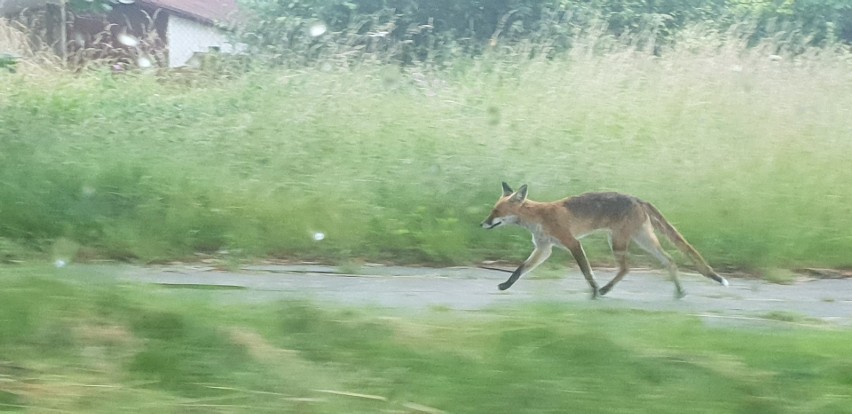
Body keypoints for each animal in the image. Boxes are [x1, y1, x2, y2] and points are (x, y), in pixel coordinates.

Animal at [482, 183, 728, 300]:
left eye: (496, 212)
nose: (482, 224)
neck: (539, 217)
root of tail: (638, 199)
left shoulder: (572, 243)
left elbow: (587, 272)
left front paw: (593, 291)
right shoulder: (544, 249)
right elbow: (519, 270)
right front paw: (505, 285)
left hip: (618, 243)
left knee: (627, 268)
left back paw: (605, 289)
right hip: (643, 240)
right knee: (669, 260)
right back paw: (679, 292)